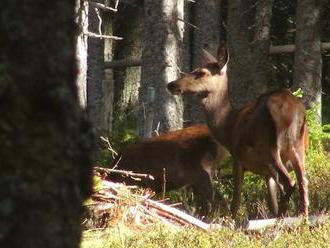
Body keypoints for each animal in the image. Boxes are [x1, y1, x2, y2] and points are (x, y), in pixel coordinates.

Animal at [168, 45, 310, 218]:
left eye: (201, 72)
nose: (171, 84)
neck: (228, 126)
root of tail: (296, 111)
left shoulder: (238, 157)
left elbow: (235, 201)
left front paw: (232, 219)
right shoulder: (266, 172)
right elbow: (271, 202)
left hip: (271, 146)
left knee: (289, 183)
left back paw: (282, 218)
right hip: (298, 148)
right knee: (303, 182)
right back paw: (301, 217)